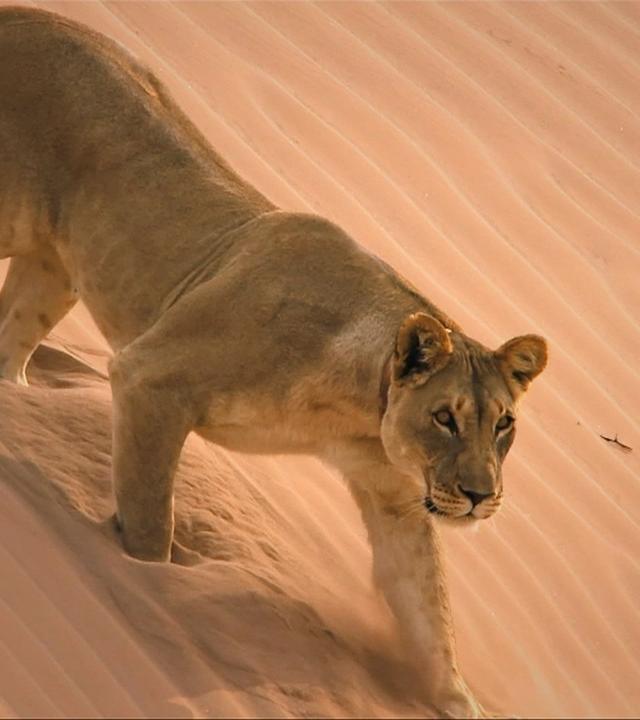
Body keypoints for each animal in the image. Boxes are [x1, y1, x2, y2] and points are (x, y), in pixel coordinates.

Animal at [0, 7, 547, 717]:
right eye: (445, 418)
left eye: (503, 424)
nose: (482, 498)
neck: (356, 412)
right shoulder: (150, 378)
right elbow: (150, 527)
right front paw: (150, 589)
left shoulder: (397, 500)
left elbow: (429, 617)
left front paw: (457, 701)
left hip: (52, 273)